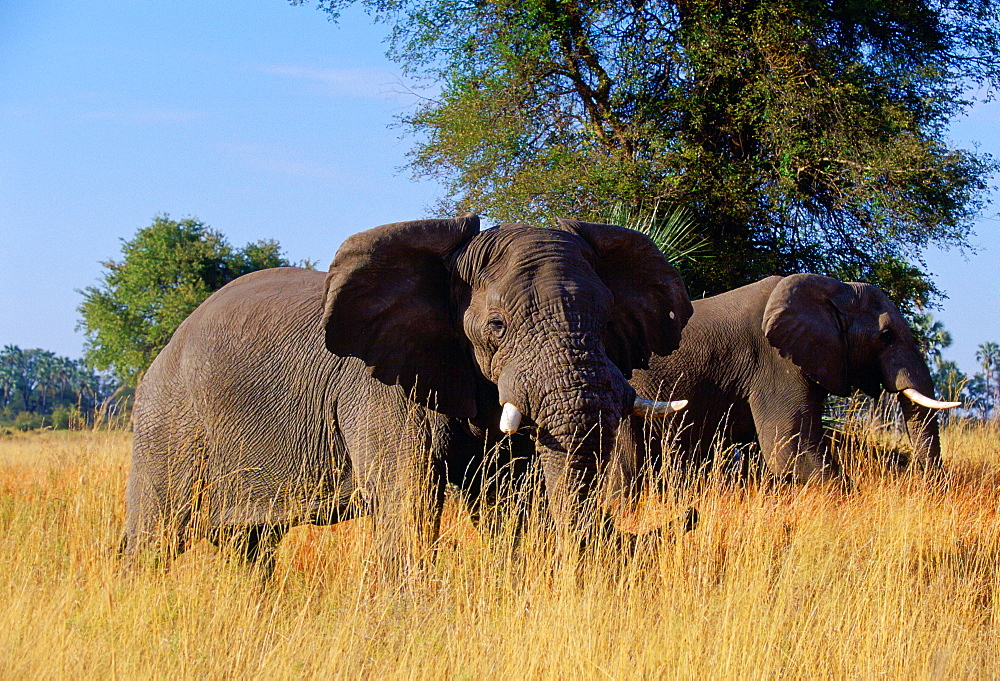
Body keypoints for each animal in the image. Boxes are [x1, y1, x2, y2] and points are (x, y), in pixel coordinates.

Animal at [125, 215, 696, 572]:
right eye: (496, 326)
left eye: (607, 321)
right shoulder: (381, 389)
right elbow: (409, 495)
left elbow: (507, 501)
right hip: (165, 418)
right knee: (154, 536)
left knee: (251, 543)